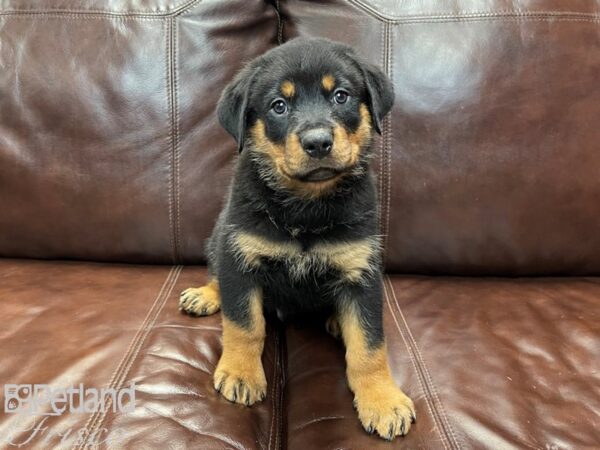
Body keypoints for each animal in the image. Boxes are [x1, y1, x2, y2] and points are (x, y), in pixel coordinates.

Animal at [177, 37, 412, 440]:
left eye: (341, 96)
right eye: (279, 105)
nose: (317, 142)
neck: (306, 209)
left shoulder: (361, 272)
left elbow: (369, 346)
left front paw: (383, 399)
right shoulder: (240, 256)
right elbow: (245, 325)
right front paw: (241, 373)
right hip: (219, 235)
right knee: (217, 276)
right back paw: (205, 295)